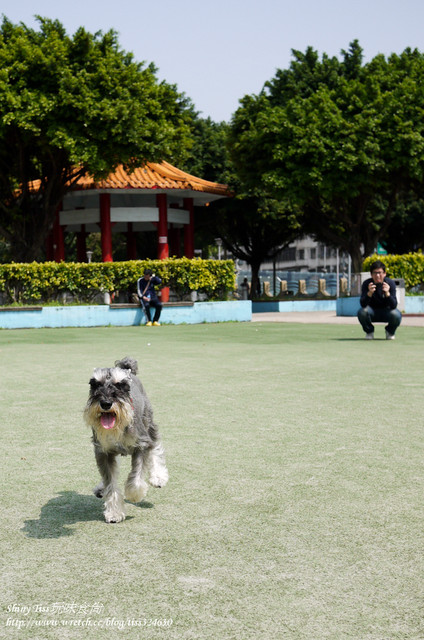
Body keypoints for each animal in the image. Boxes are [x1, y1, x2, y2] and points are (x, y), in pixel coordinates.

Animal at [83, 358, 169, 524]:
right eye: (94, 384)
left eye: (120, 385)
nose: (106, 403)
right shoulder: (103, 452)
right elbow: (110, 484)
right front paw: (114, 513)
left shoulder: (141, 445)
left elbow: (136, 476)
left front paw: (134, 494)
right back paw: (100, 488)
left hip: (148, 422)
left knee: (155, 446)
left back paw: (158, 477)